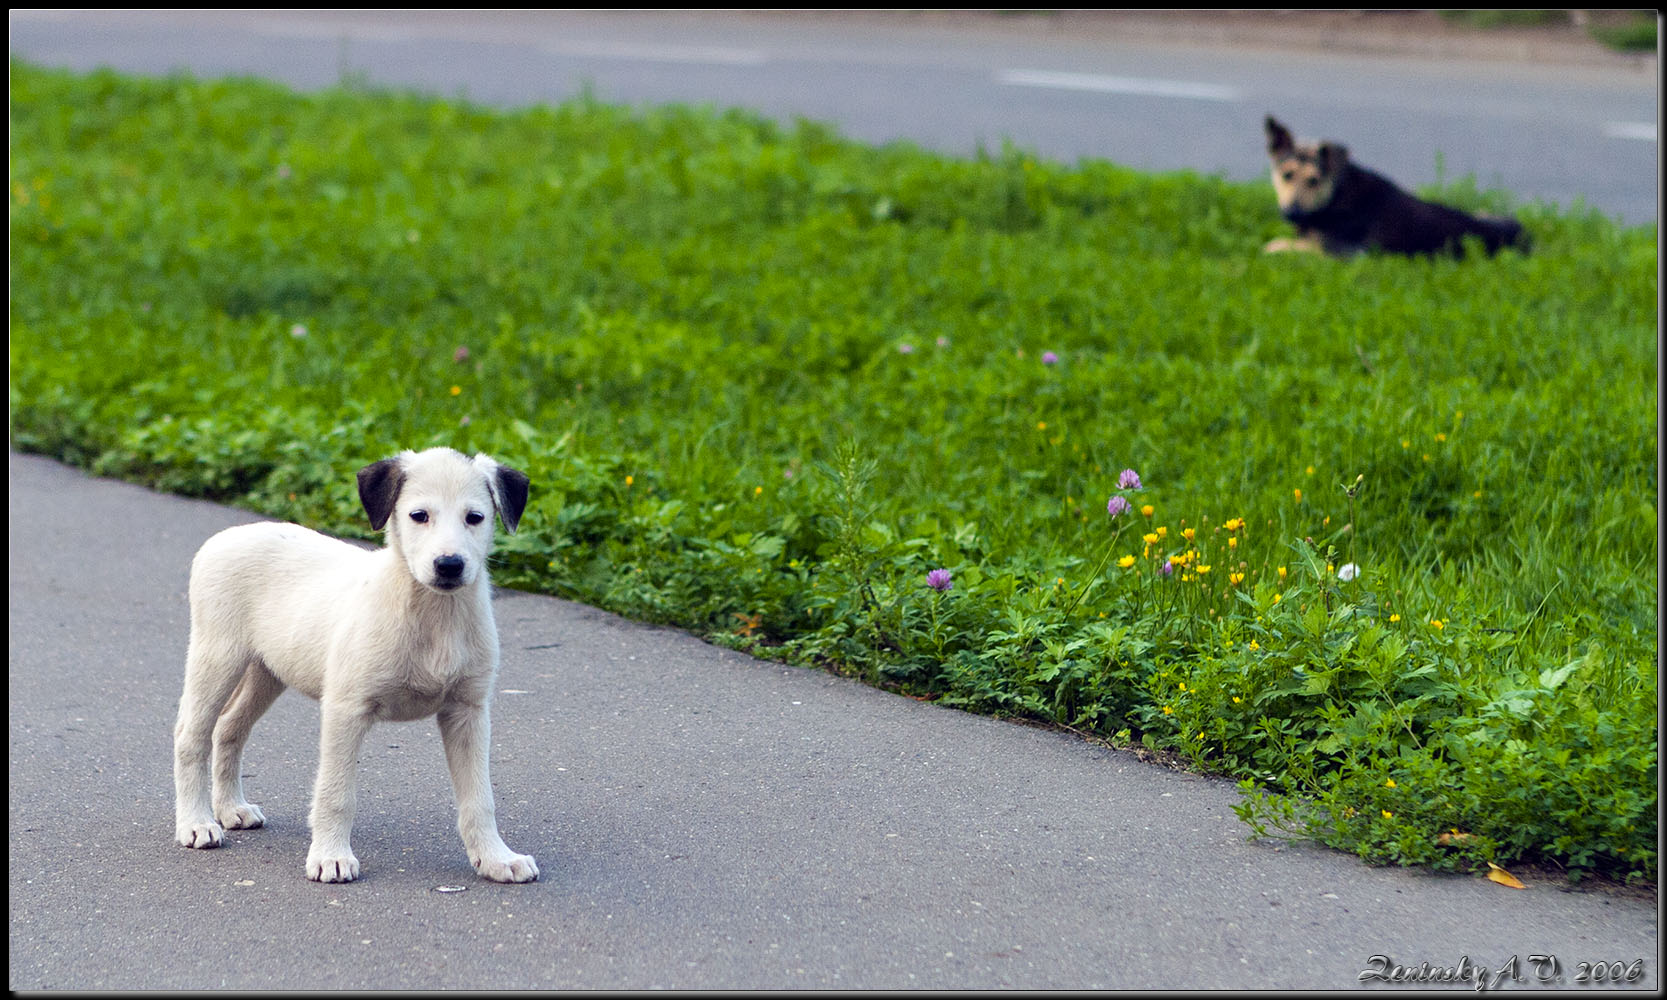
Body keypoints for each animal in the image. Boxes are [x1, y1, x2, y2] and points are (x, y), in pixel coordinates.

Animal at [170, 446, 536, 880]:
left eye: (474, 517)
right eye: (419, 515)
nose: (449, 565)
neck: (432, 616)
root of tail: (225, 537)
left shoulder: (468, 712)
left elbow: (480, 799)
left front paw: (497, 859)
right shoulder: (346, 710)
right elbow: (336, 793)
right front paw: (331, 856)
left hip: (268, 671)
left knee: (229, 728)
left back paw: (231, 809)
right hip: (217, 656)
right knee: (190, 736)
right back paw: (197, 822)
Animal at [1260, 115, 1526, 260]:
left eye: (1313, 180)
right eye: (1287, 175)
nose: (1291, 213)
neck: (1337, 194)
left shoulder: (1350, 253)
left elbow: (1277, 245)